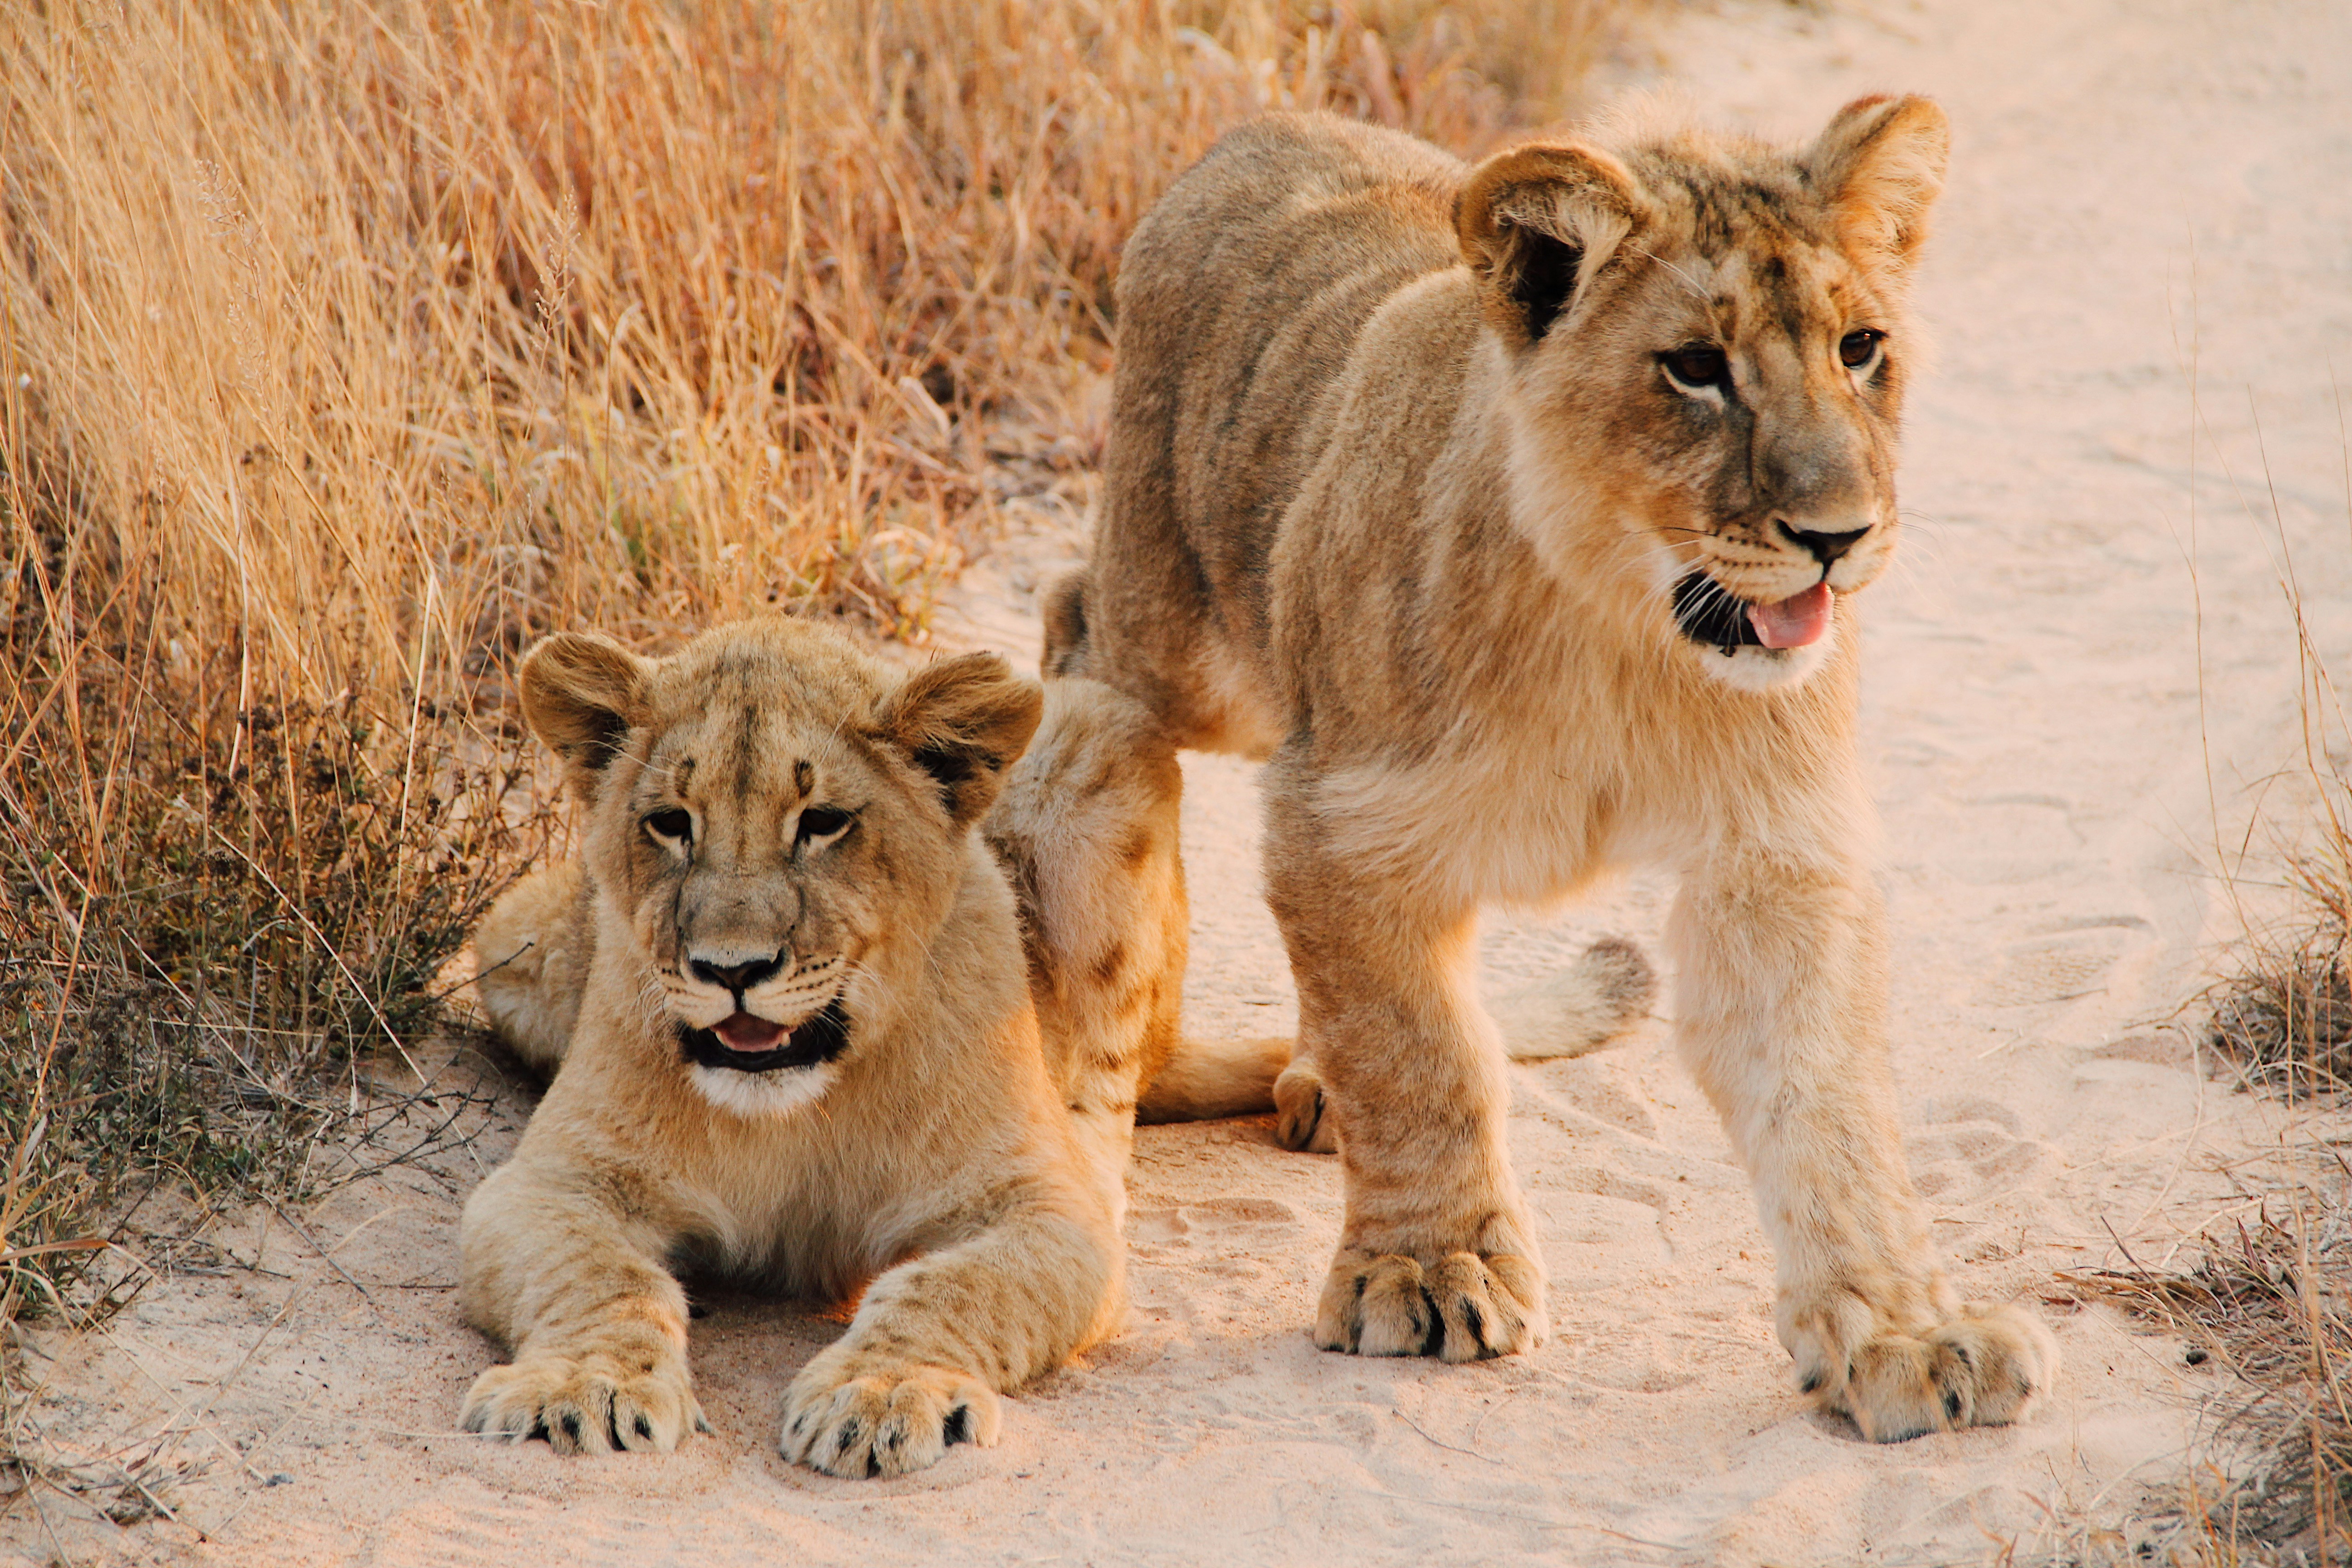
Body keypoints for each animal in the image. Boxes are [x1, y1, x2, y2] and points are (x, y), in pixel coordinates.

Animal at [458, 616, 1282, 1476]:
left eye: (823, 823)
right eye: (671, 822)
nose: (732, 969)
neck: (794, 1108)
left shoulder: (1042, 1209)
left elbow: (952, 1287)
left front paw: (884, 1393)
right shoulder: (551, 1184)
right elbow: (600, 1276)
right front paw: (586, 1384)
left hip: (1095, 728)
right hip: (512, 937)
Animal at [1044, 99, 2060, 1440]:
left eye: (1860, 348)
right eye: (1695, 367)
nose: (1838, 538)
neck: (1619, 628)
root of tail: (1267, 122)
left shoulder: (1777, 851)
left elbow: (1826, 1097)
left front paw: (1900, 1332)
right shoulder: (1344, 816)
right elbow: (1417, 1052)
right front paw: (1428, 1267)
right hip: (1173, 633)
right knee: (1074, 623)